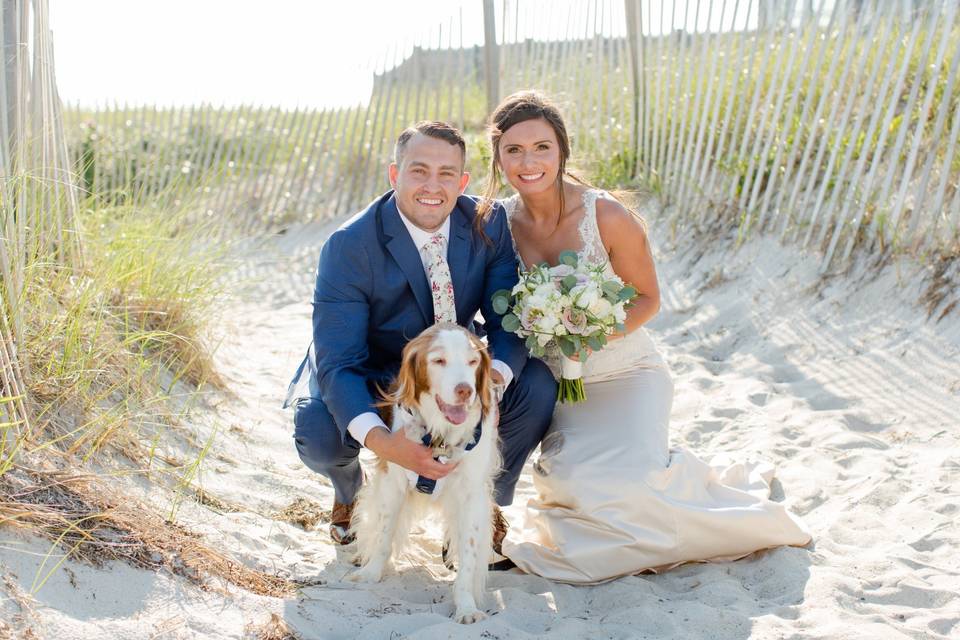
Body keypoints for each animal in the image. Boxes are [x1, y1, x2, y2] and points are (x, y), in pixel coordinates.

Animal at [348, 322, 506, 624]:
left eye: (473, 362)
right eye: (439, 361)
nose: (465, 390)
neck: (440, 436)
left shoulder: (471, 495)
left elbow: (469, 553)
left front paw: (466, 606)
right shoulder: (394, 480)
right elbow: (384, 532)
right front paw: (371, 573)